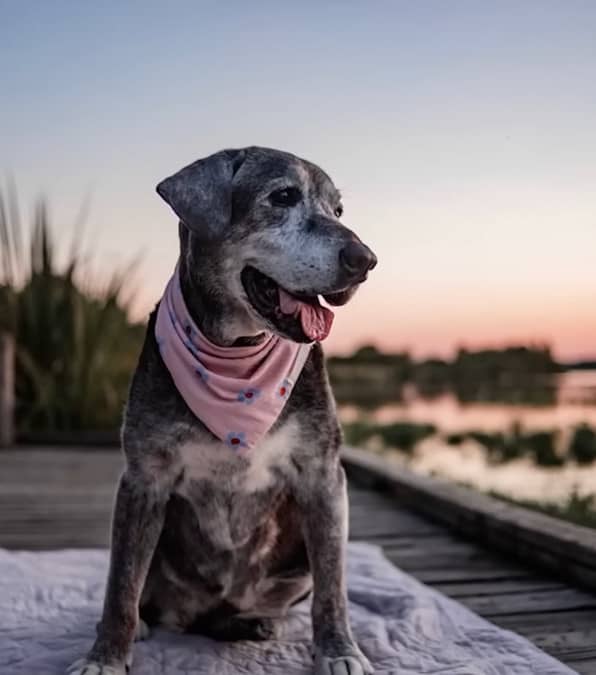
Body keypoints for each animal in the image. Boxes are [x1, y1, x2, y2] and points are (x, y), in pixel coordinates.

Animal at [67, 148, 378, 675]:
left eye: (338, 210)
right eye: (283, 196)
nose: (366, 260)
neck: (235, 353)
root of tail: (203, 612)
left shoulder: (323, 476)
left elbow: (332, 587)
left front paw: (339, 650)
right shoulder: (143, 480)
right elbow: (120, 586)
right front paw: (106, 656)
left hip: (294, 562)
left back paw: (252, 623)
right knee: (142, 589)